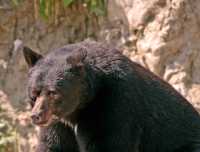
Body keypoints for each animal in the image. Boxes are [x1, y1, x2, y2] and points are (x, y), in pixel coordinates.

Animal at [23, 40, 200, 152]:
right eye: (34, 94)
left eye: (53, 92)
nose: (36, 115)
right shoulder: (59, 124)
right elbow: (53, 144)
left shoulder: (115, 104)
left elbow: (109, 142)